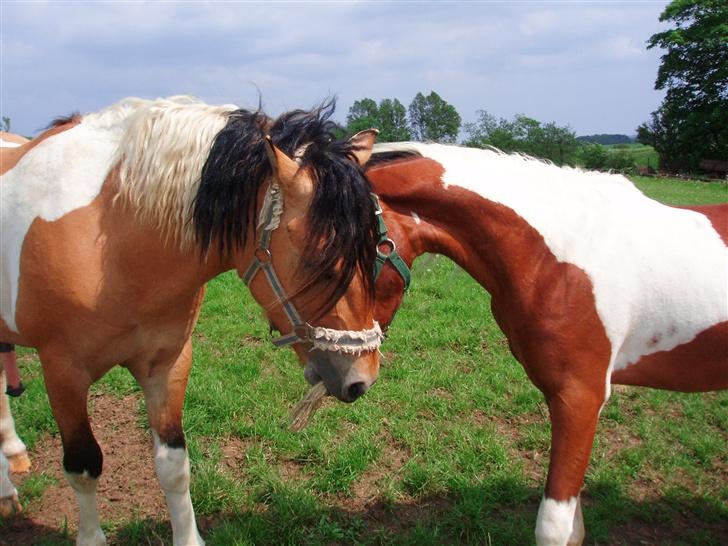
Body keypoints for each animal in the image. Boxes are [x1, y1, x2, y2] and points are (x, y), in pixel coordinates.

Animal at [0, 98, 384, 544]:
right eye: (319, 262)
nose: (363, 378)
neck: (111, 241)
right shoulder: (63, 373)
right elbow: (83, 467)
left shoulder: (167, 365)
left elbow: (173, 466)